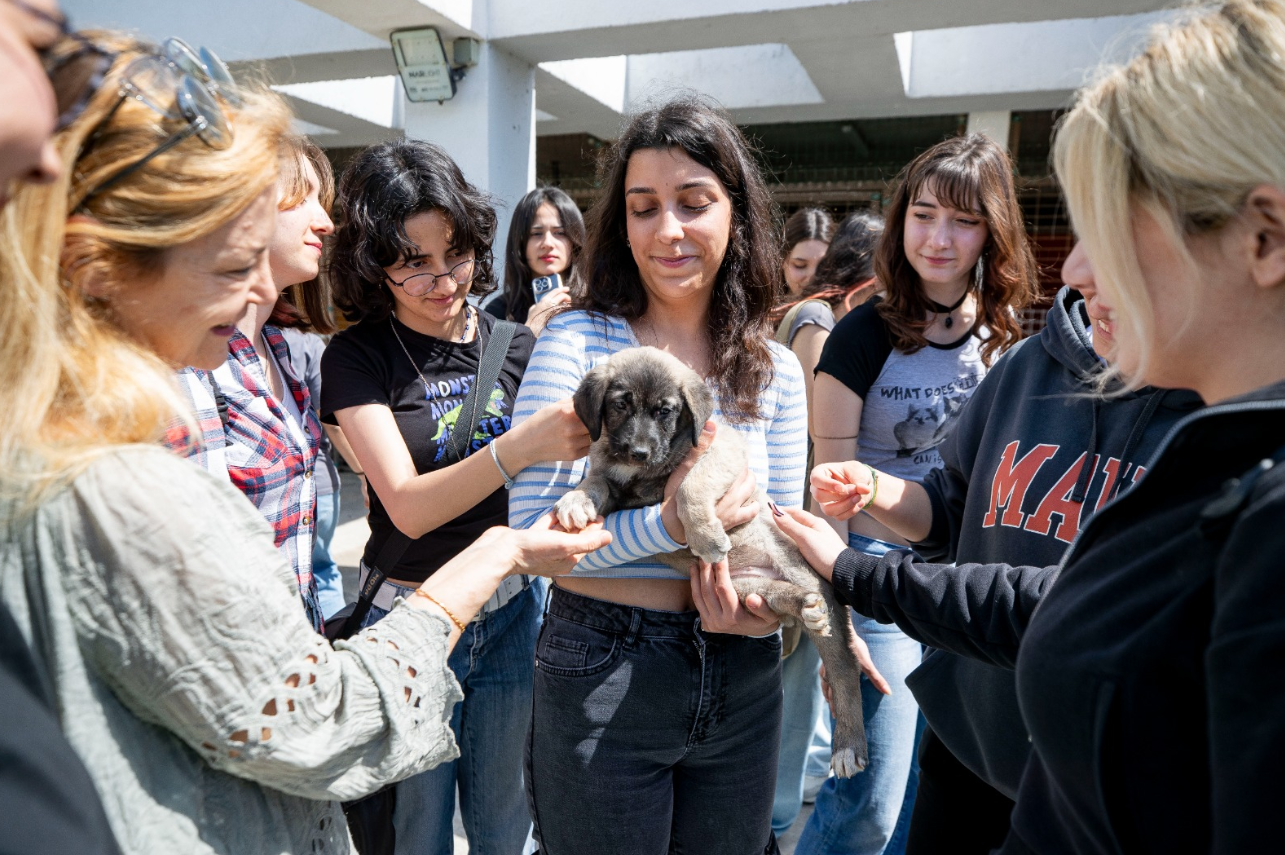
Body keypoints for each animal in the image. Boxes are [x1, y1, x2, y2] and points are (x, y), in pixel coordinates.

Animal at [557, 344, 868, 771]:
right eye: (620, 405)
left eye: (665, 411)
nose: (639, 452)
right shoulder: (617, 486)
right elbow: (596, 479)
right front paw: (576, 499)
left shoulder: (720, 450)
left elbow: (690, 486)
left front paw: (705, 536)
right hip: (747, 587)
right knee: (778, 596)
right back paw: (801, 606)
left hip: (804, 573)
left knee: (844, 666)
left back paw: (848, 745)